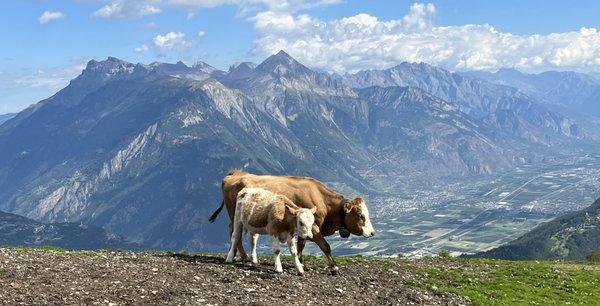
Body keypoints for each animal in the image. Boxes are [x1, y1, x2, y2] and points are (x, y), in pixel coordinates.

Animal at [209, 171, 372, 274]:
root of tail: (235, 173)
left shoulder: (302, 229)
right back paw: (240, 256)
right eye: (360, 215)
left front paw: (299, 262)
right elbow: (325, 246)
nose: (372, 232)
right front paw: (334, 268)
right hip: (234, 215)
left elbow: (300, 246)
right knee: (234, 232)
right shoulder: (314, 227)